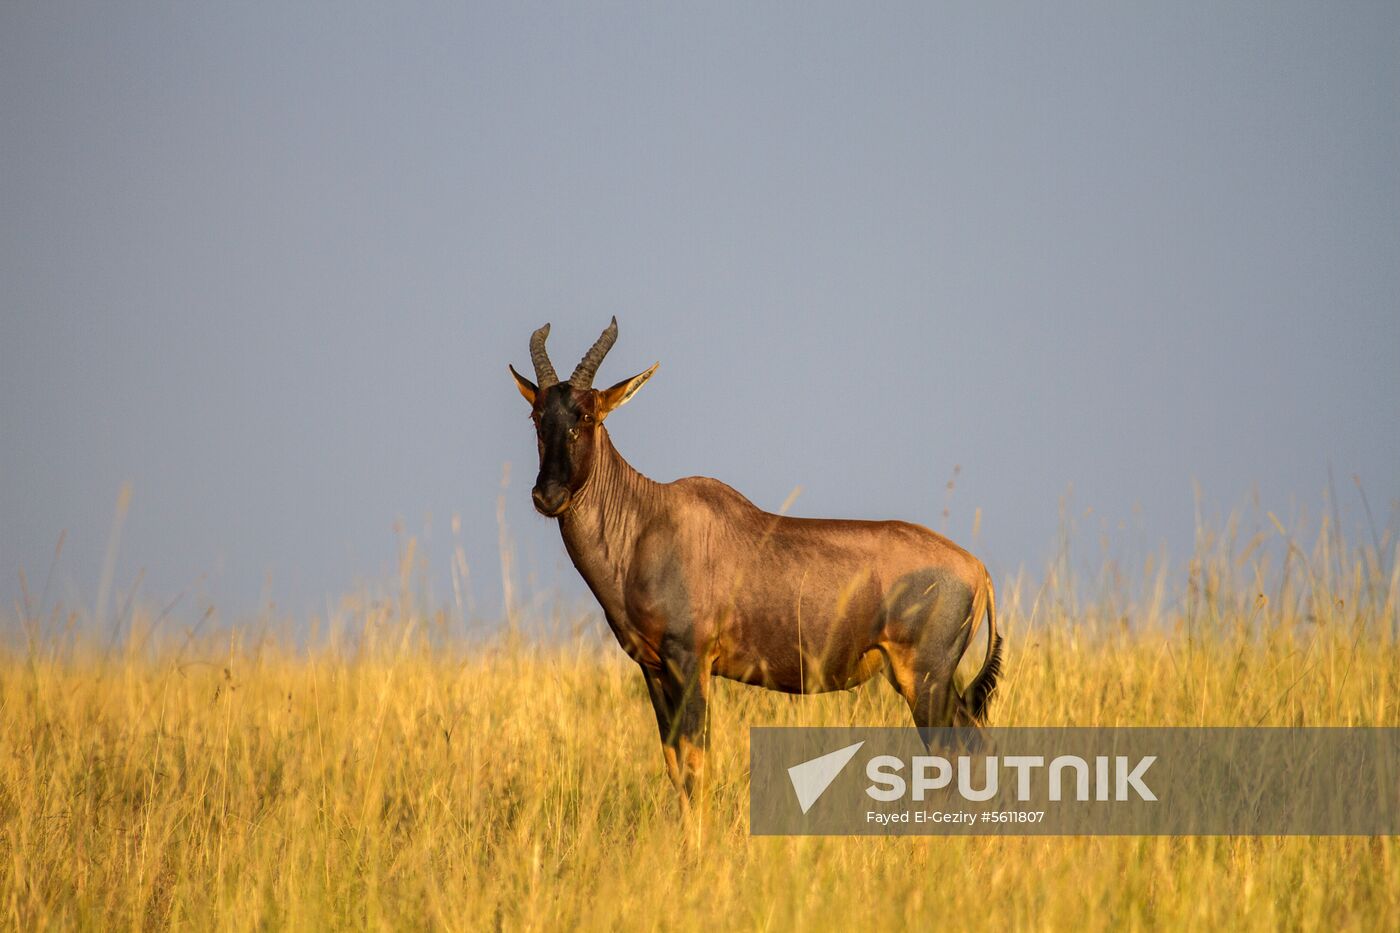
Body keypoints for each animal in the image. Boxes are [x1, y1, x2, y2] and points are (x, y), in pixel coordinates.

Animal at [509, 319, 1002, 806]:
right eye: (537, 417)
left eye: (587, 416)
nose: (547, 496)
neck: (647, 519)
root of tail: (977, 569)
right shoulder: (652, 668)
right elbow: (675, 767)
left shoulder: (691, 661)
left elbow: (696, 765)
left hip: (926, 680)